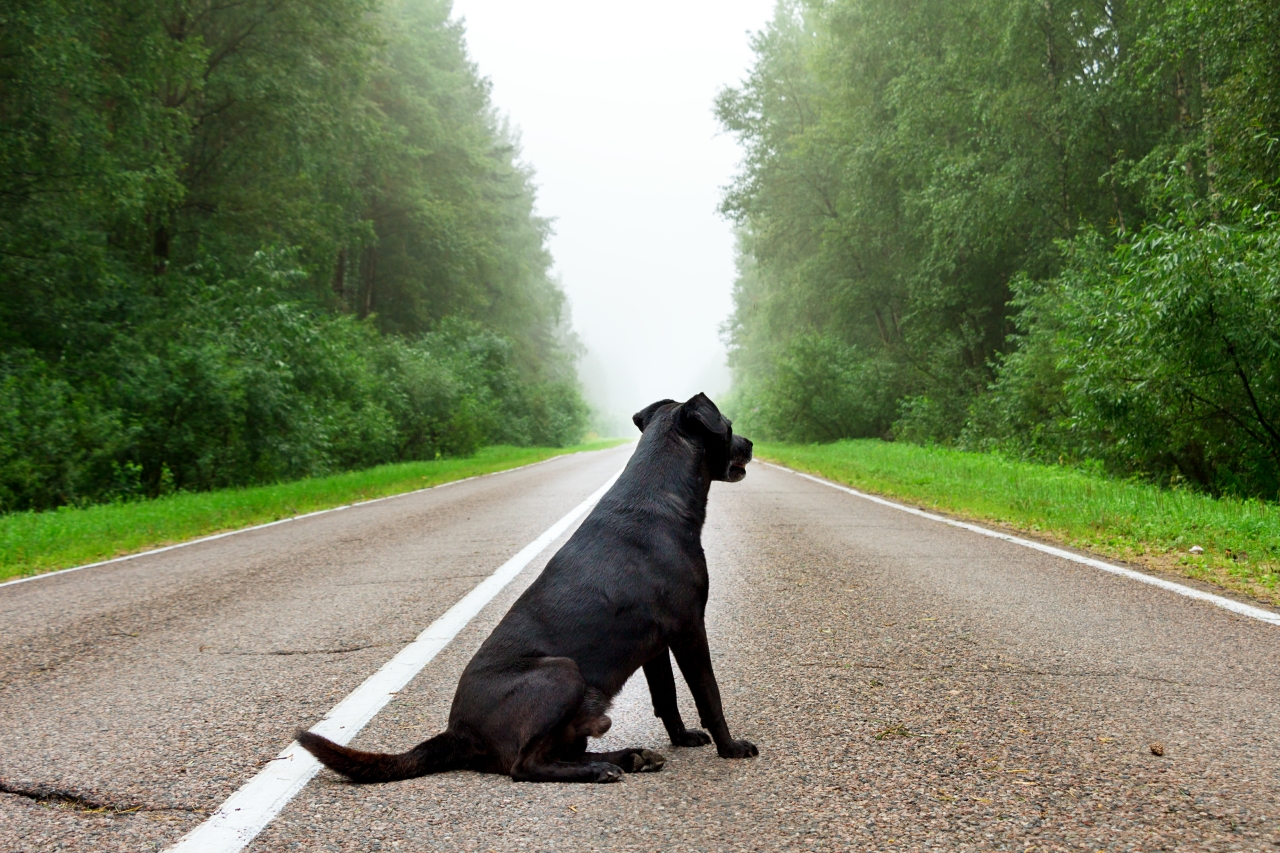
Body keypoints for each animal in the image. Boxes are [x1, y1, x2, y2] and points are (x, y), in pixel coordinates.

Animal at [294, 389, 752, 778]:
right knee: (525, 765)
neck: (660, 499)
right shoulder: (689, 627)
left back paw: (629, 757)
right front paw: (731, 748)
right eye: (728, 425)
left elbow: (667, 698)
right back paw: (601, 769)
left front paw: (682, 739)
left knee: (559, 751)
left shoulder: (656, 646)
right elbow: (708, 695)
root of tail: (459, 733)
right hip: (561, 672)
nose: (749, 443)